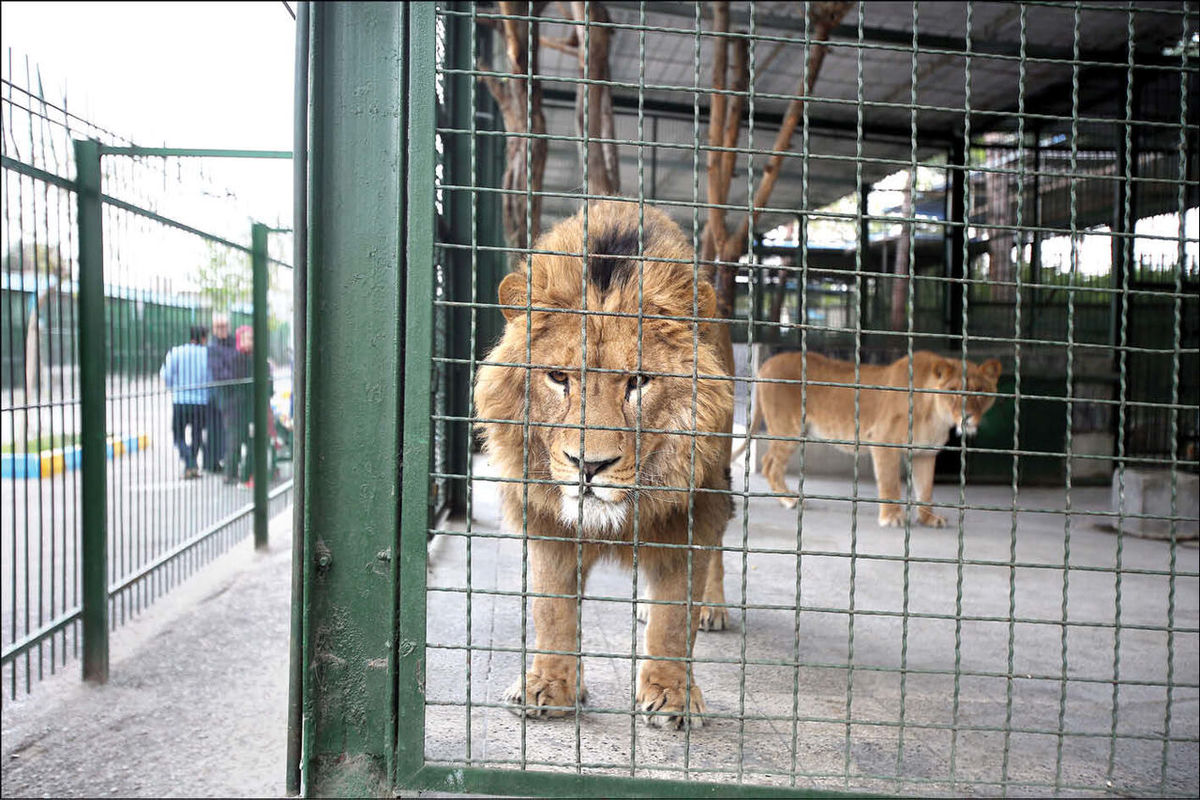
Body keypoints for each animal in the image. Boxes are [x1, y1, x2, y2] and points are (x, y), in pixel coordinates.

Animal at [468, 201, 729, 734]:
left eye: (638, 382)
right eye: (558, 377)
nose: (588, 466)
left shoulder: (690, 517)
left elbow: (675, 619)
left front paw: (672, 695)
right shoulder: (546, 522)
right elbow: (551, 611)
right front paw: (549, 685)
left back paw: (711, 608)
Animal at [729, 347, 1003, 525]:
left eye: (980, 391)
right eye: (954, 390)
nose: (967, 416)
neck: (937, 415)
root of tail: (766, 364)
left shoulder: (925, 453)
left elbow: (925, 490)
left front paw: (928, 518)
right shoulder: (884, 441)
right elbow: (890, 483)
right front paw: (891, 517)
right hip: (789, 429)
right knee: (769, 464)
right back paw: (789, 500)